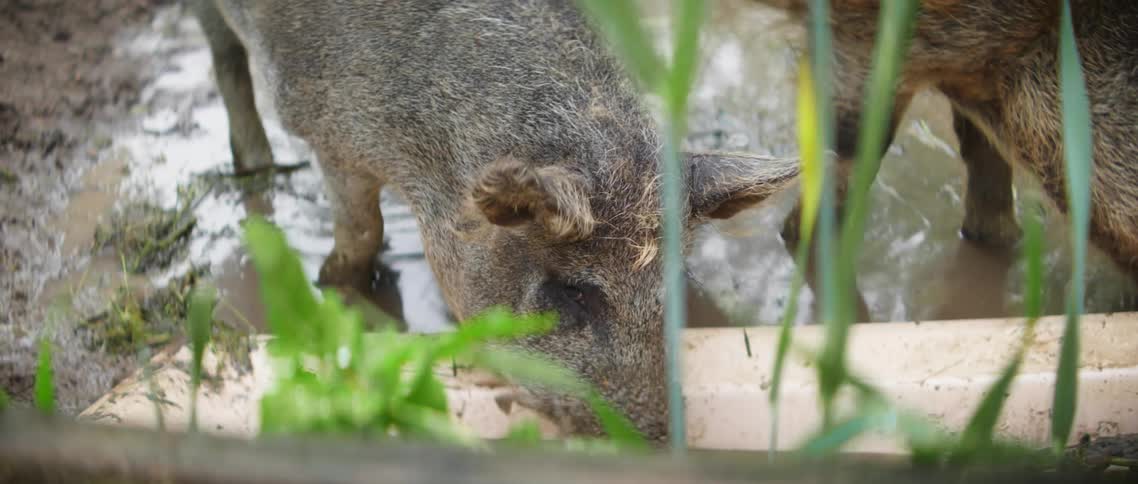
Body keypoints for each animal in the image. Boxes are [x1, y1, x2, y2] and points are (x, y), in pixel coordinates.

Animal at [191, 0, 799, 441]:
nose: (653, 440)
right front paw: (349, 299)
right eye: (571, 291)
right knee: (224, 57)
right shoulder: (327, 134)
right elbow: (362, 234)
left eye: (670, 288)